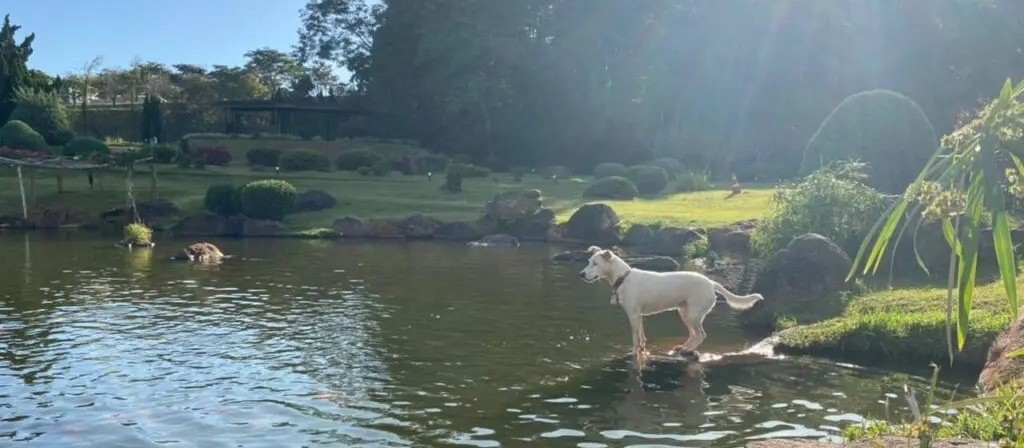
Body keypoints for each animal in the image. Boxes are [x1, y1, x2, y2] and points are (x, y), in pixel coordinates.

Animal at [577, 245, 761, 364]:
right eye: (589, 261)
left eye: (595, 263)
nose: (581, 275)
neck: (623, 278)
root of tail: (711, 283)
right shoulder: (639, 316)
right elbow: (642, 336)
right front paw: (642, 349)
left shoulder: (633, 315)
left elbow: (635, 337)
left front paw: (634, 352)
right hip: (684, 312)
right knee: (694, 334)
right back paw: (683, 347)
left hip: (693, 314)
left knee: (701, 334)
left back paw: (686, 350)